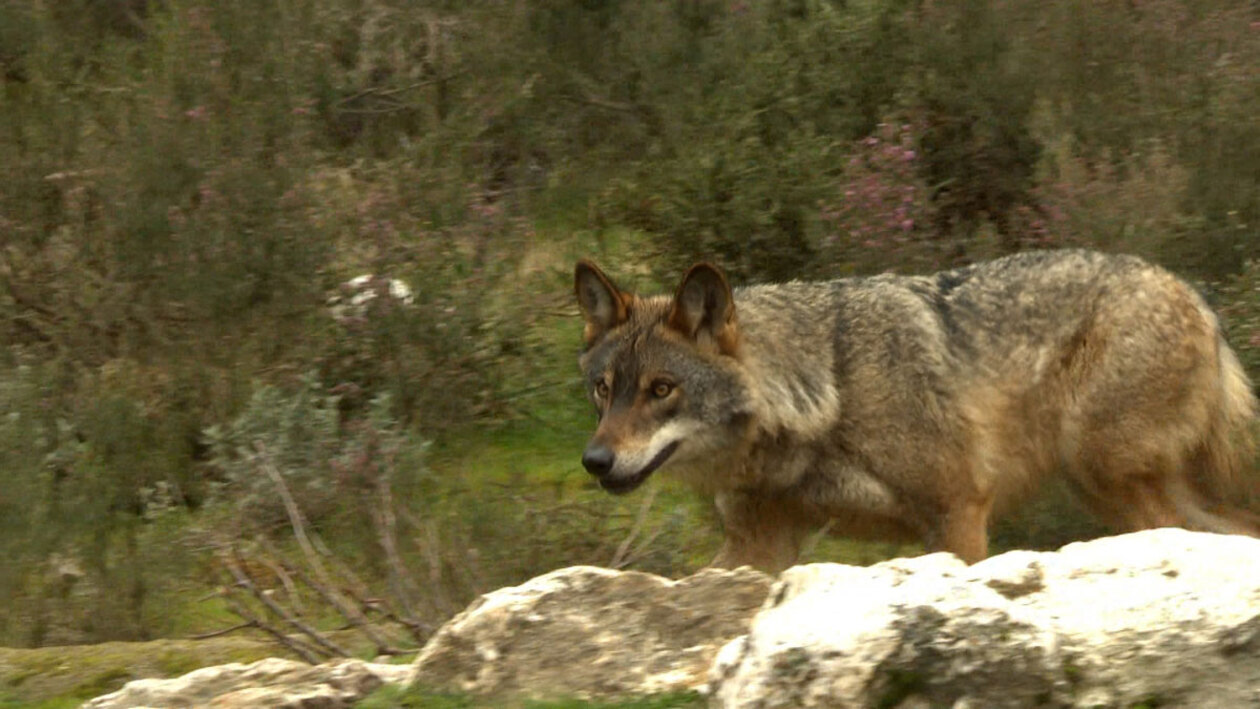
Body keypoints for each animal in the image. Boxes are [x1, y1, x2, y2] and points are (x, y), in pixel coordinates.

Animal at [574, 249, 1259, 571]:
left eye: (662, 389)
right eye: (604, 390)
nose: (595, 461)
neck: (826, 389)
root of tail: (1197, 296)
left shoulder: (959, 513)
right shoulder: (756, 546)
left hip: (1113, 483)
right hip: (1115, 492)